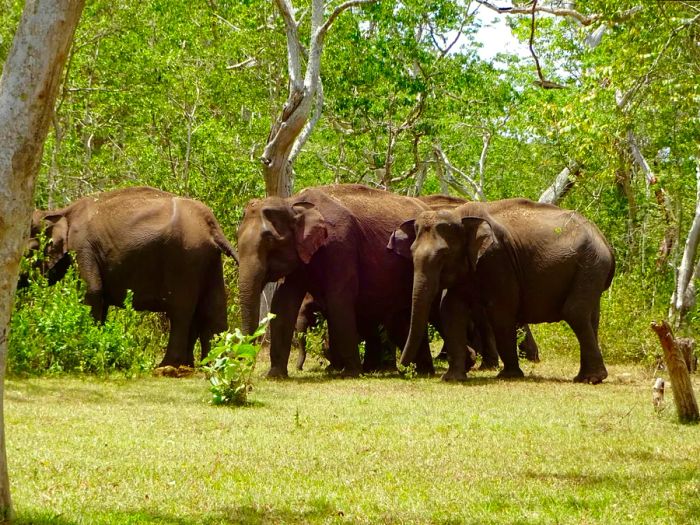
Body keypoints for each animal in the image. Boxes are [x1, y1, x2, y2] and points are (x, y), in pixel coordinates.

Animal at [29, 186, 238, 366]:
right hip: (208, 259)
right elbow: (102, 301)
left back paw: (168, 366)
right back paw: (210, 365)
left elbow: (92, 292)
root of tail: (211, 225)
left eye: (29, 250)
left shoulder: (82, 248)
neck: (61, 211)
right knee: (213, 307)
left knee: (181, 310)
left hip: (185, 256)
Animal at [392, 199, 616, 382]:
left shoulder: (497, 258)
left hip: (591, 264)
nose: (404, 368)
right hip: (591, 268)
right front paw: (452, 378)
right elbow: (451, 310)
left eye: (443, 255)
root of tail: (604, 240)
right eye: (411, 251)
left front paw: (509, 375)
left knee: (575, 312)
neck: (461, 215)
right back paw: (584, 377)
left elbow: (501, 311)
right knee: (590, 317)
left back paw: (592, 379)